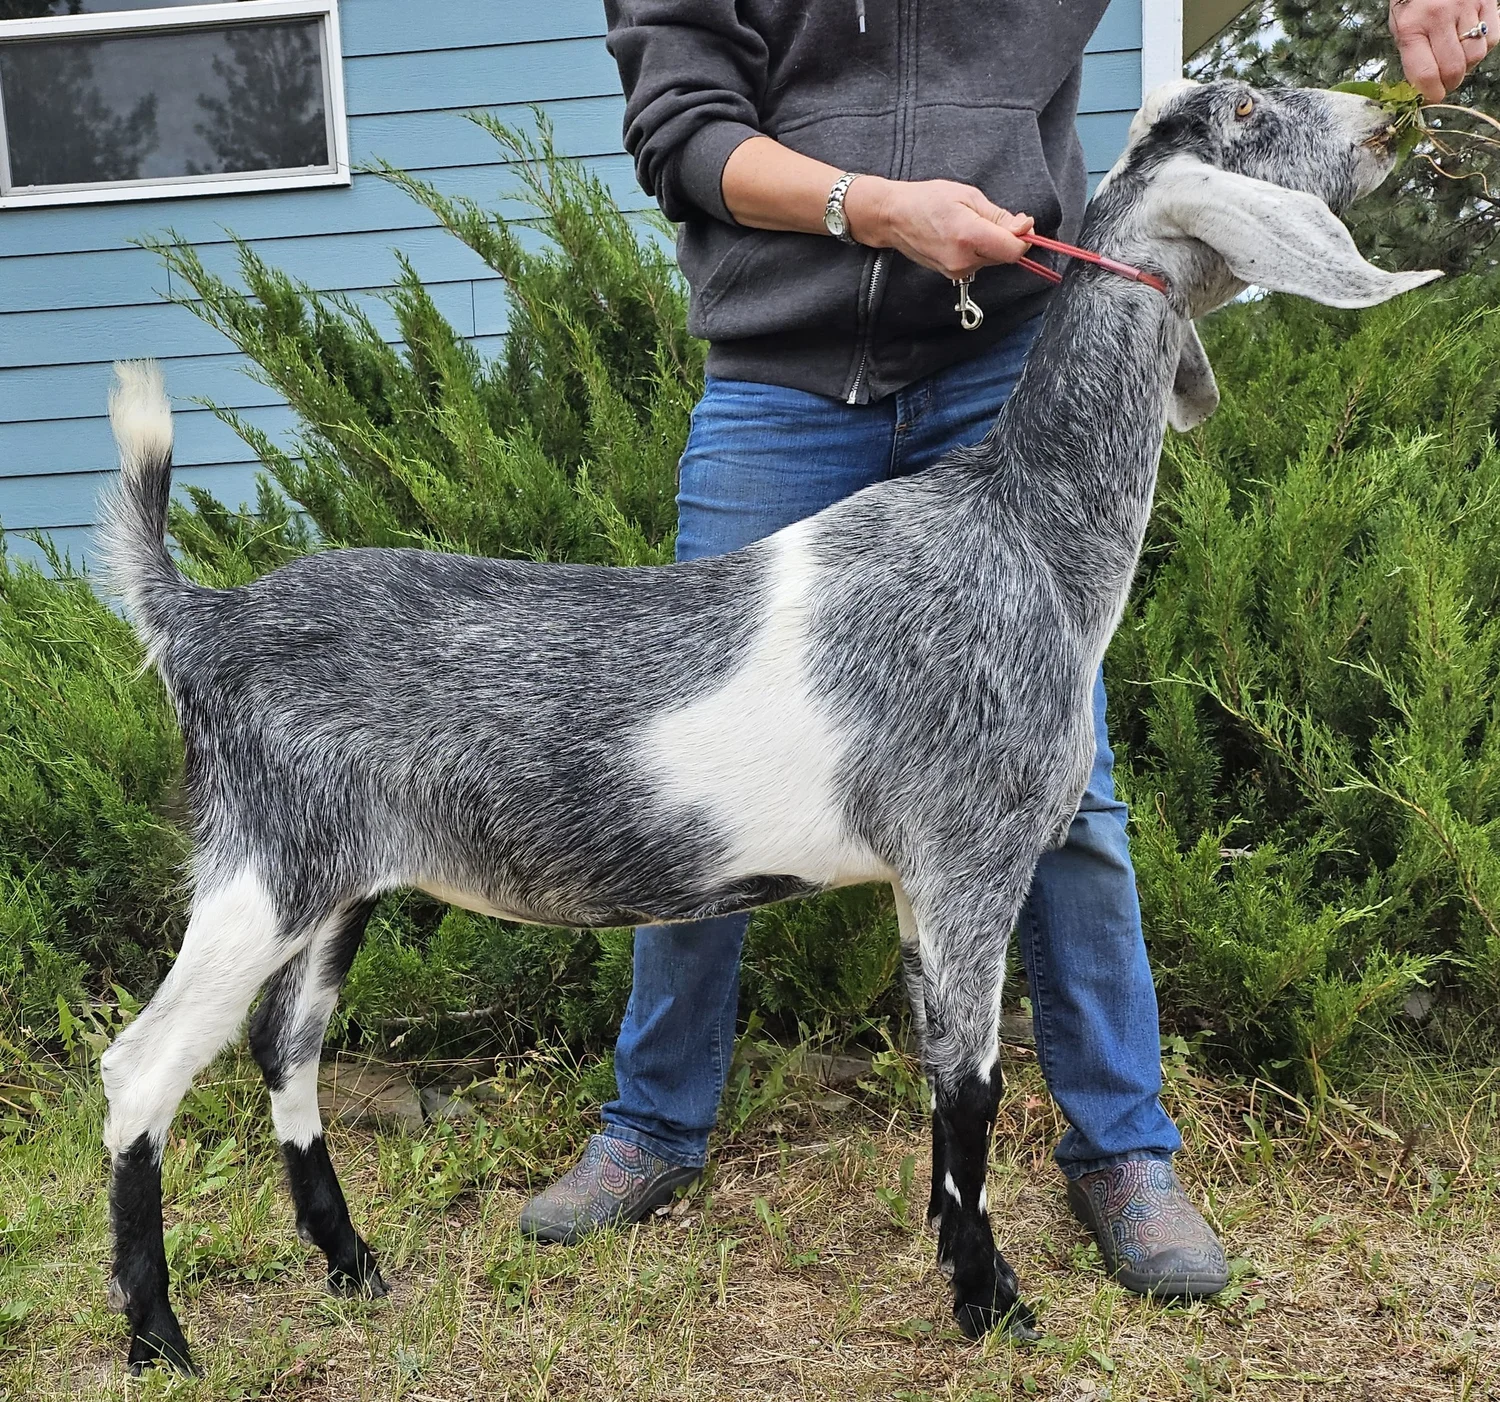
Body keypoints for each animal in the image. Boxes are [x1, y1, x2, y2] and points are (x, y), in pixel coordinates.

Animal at [96, 80, 1438, 1371]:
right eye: (1249, 112)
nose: (1388, 123)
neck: (1020, 532)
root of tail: (201, 618)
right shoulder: (970, 860)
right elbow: (975, 1087)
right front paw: (992, 1304)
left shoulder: (924, 883)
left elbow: (939, 1074)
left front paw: (956, 1264)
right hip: (260, 870)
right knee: (143, 1067)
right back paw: (161, 1338)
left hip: (338, 885)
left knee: (287, 1049)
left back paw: (353, 1267)